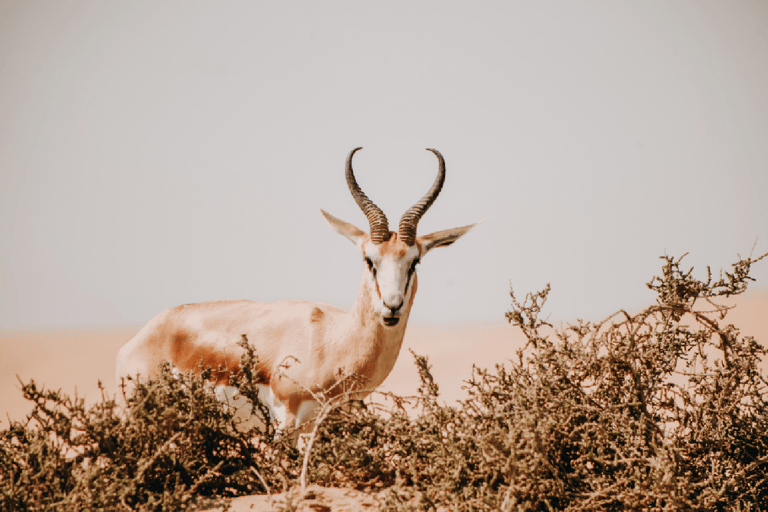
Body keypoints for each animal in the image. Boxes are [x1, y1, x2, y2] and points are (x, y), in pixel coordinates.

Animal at [115, 148, 476, 436]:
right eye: (369, 259)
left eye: (414, 261)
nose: (392, 307)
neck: (331, 340)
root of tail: (143, 336)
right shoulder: (285, 423)